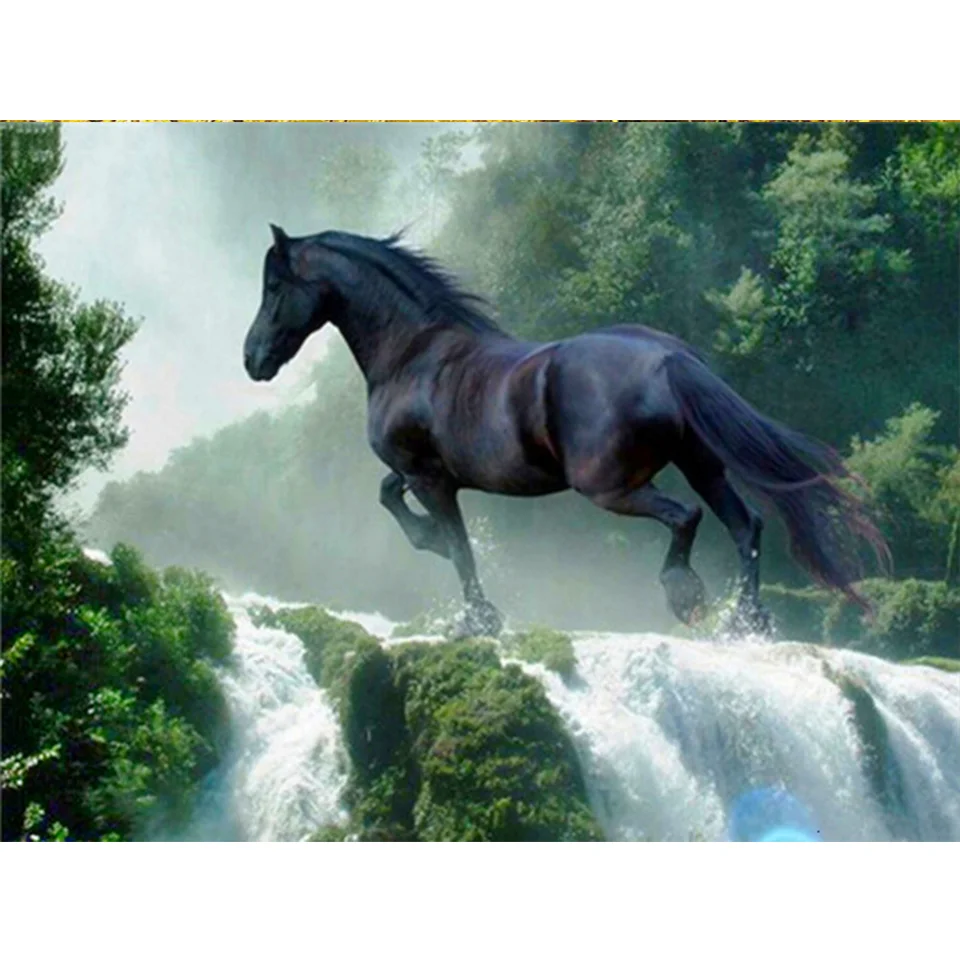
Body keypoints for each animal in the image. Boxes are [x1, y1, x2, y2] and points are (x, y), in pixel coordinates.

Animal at [243, 225, 889, 638]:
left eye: (275, 288)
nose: (252, 359)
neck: (414, 355)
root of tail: (668, 359)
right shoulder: (421, 474)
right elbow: (392, 498)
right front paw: (434, 550)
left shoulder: (431, 479)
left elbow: (457, 547)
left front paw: (476, 620)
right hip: (702, 464)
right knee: (745, 524)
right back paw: (744, 623)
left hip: (609, 486)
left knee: (687, 518)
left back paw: (686, 596)